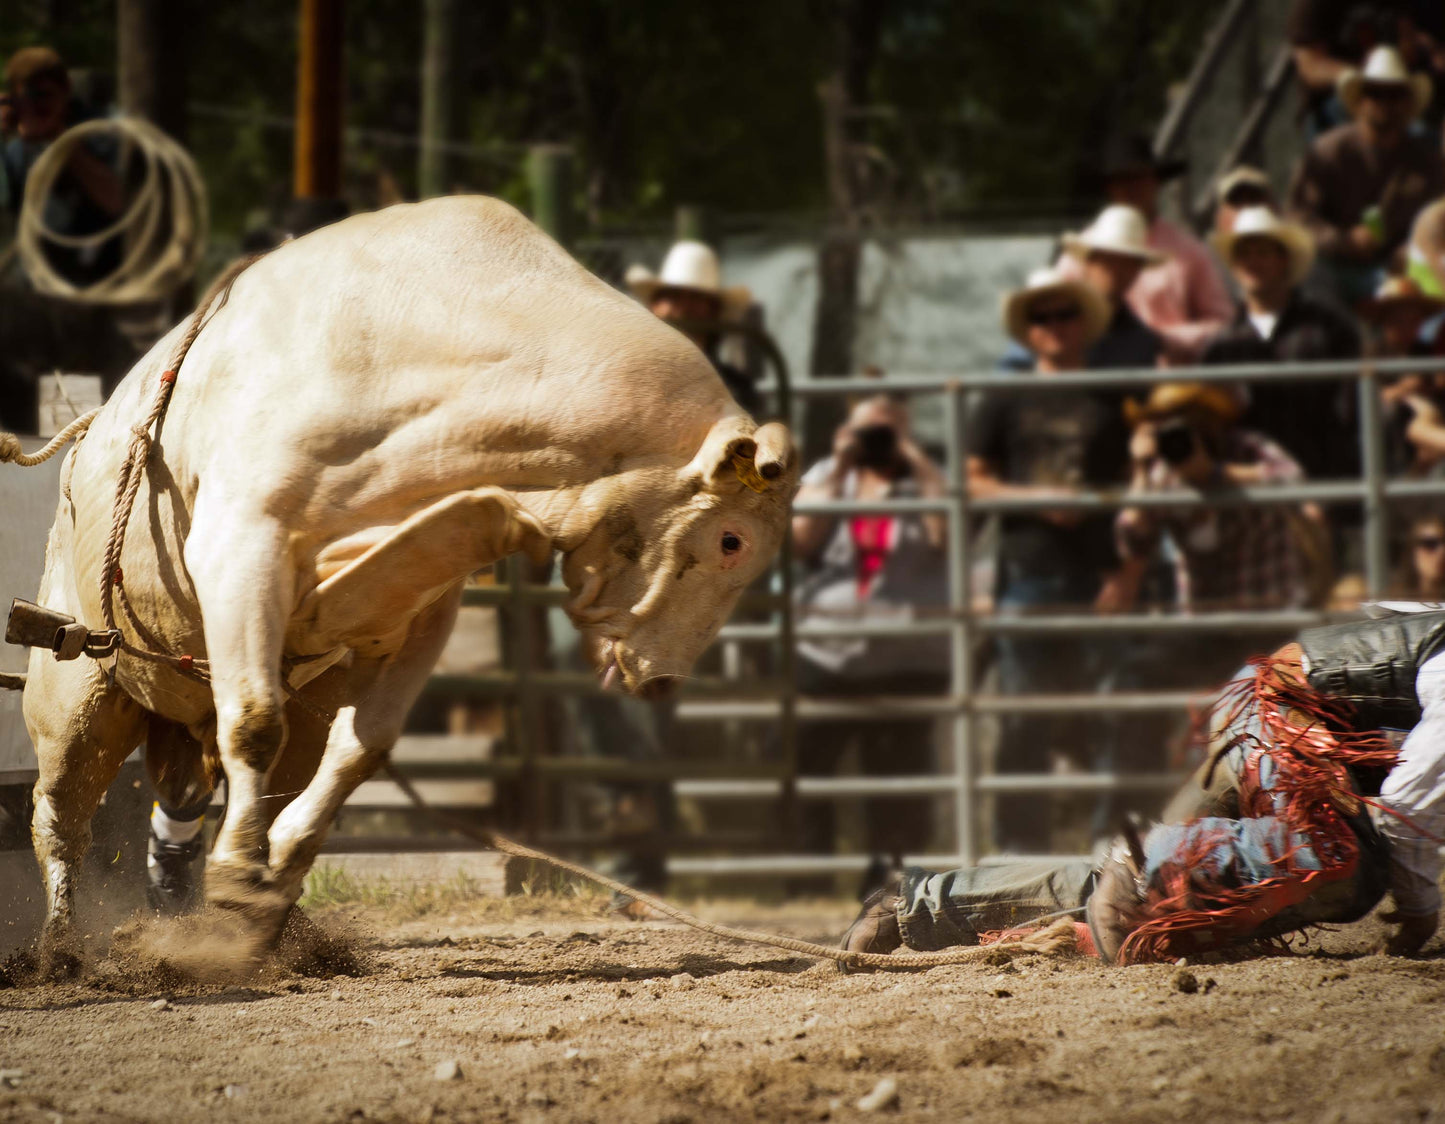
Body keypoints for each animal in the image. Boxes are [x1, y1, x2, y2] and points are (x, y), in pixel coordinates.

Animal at [14, 192, 803, 965]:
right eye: (731, 540)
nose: (666, 681)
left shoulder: (431, 603)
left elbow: (364, 745)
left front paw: (276, 876)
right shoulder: (243, 547)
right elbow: (255, 723)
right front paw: (239, 876)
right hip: (76, 691)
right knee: (61, 811)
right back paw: (60, 949)